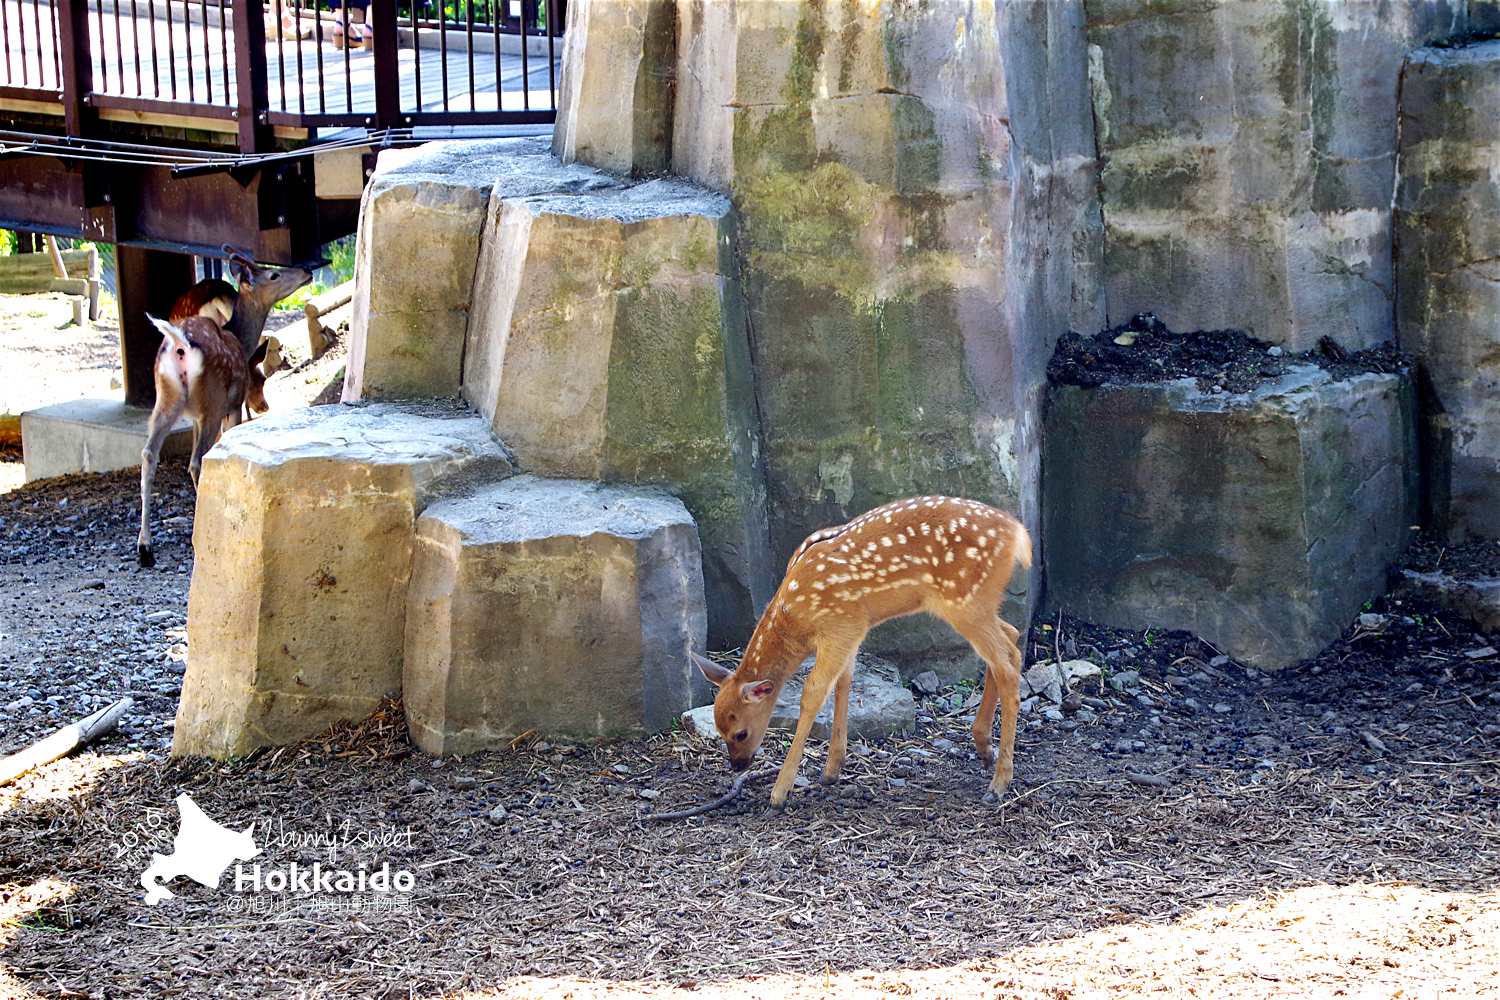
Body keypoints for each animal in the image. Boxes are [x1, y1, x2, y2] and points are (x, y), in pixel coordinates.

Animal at [138, 316, 267, 566]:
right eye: (262, 378)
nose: (264, 406)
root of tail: (179, 344)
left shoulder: (196, 416)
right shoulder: (232, 407)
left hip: (167, 398)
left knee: (149, 454)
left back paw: (145, 548)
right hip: (213, 399)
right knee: (197, 461)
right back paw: (201, 534)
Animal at [693, 497, 1032, 809]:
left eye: (739, 732)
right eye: (719, 728)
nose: (738, 765)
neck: (795, 618)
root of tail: (1018, 533)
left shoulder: (840, 624)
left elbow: (813, 693)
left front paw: (780, 792)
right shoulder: (853, 630)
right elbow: (845, 682)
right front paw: (831, 770)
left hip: (965, 600)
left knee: (1007, 661)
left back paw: (999, 782)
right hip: (977, 604)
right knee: (1011, 639)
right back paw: (984, 748)